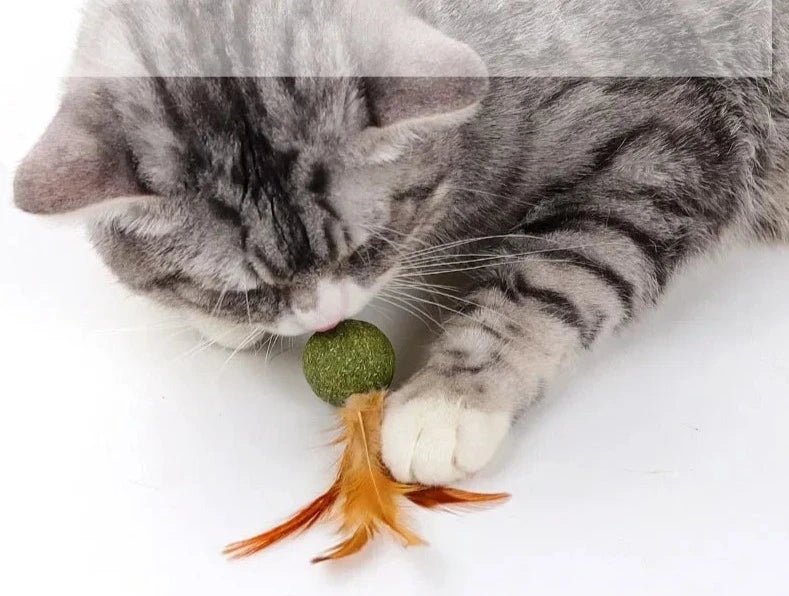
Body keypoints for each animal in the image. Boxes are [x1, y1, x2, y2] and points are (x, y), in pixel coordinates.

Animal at [12, 0, 788, 484]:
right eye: (253, 287)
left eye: (366, 247)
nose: (325, 316)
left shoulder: (667, 152)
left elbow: (561, 276)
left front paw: (449, 402)